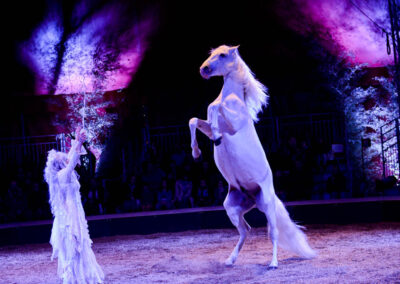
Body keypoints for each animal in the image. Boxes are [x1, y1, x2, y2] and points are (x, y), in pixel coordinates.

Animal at [189, 44, 318, 268]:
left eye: (222, 55)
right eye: (211, 54)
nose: (203, 69)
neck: (231, 98)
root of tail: (253, 197)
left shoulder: (233, 125)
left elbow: (214, 107)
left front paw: (216, 136)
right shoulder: (206, 125)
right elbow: (195, 120)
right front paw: (197, 152)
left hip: (267, 205)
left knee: (273, 233)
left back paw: (273, 263)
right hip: (232, 207)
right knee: (245, 231)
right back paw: (230, 260)